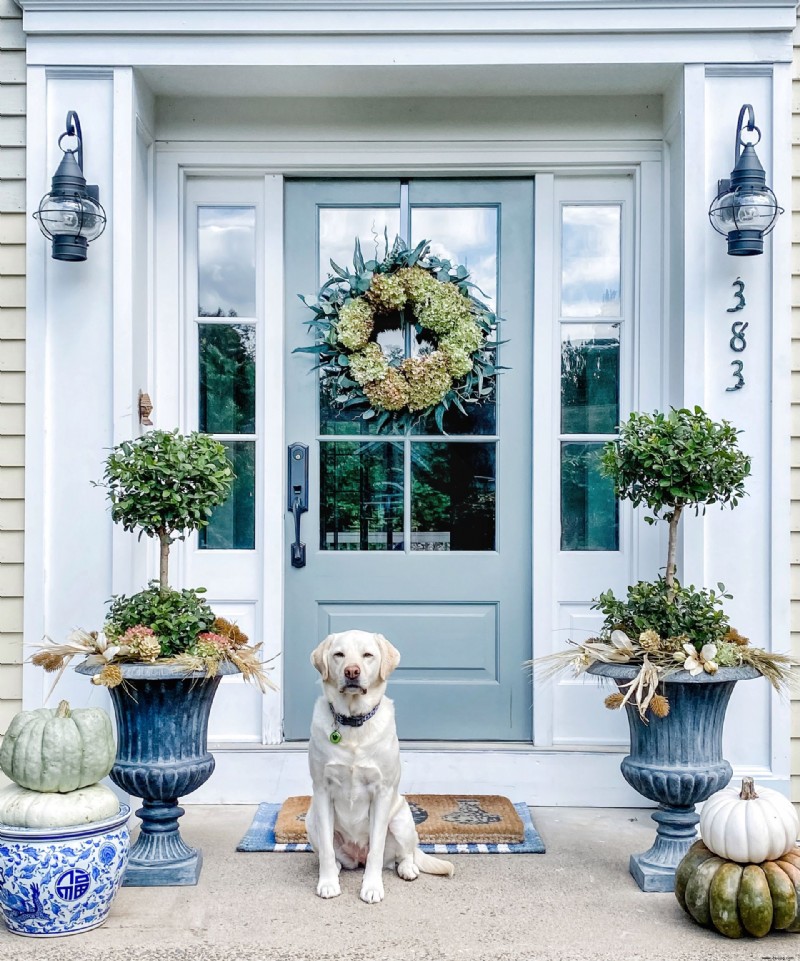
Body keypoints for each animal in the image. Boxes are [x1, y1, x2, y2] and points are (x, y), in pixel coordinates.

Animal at [308, 632, 454, 900]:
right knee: (332, 853)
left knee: (406, 853)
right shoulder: (322, 790)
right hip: (311, 820)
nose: (352, 671)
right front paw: (328, 882)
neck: (354, 723)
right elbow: (326, 849)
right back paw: (337, 868)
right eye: (339, 654)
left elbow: (376, 849)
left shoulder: (382, 792)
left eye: (368, 655)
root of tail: (357, 857)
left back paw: (408, 869)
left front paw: (372, 887)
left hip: (401, 821)